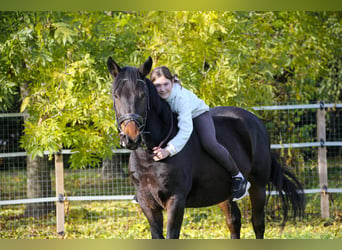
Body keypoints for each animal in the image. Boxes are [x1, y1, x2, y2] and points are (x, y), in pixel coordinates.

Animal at [107, 56, 304, 238]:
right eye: (116, 95)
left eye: (142, 95)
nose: (130, 137)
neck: (150, 156)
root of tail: (256, 122)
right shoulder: (147, 203)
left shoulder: (176, 200)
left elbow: (172, 235)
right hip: (224, 194)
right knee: (234, 222)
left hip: (258, 186)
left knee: (258, 224)